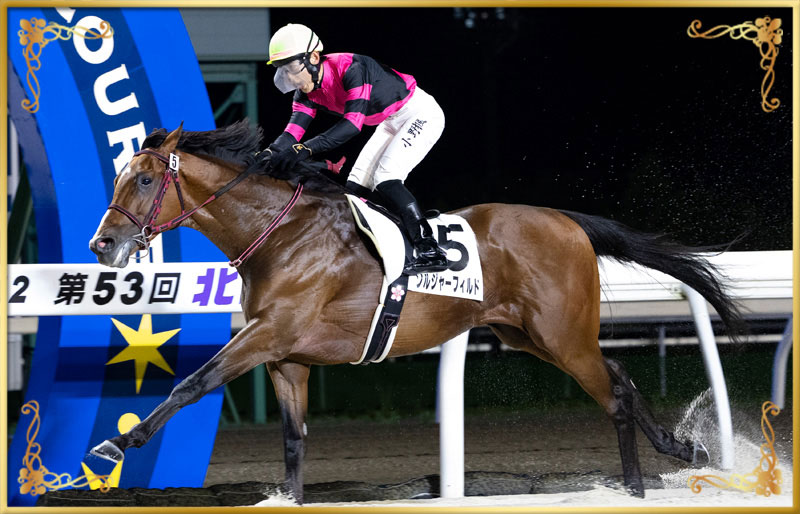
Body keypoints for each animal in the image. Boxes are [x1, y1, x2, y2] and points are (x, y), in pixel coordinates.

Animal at [89, 120, 745, 503]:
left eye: (143, 180)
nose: (102, 245)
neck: (280, 234)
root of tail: (568, 222)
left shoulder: (267, 334)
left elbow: (193, 384)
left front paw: (117, 444)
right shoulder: (286, 357)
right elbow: (294, 440)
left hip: (563, 336)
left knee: (613, 395)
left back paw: (635, 488)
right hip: (529, 335)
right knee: (621, 378)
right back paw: (677, 453)